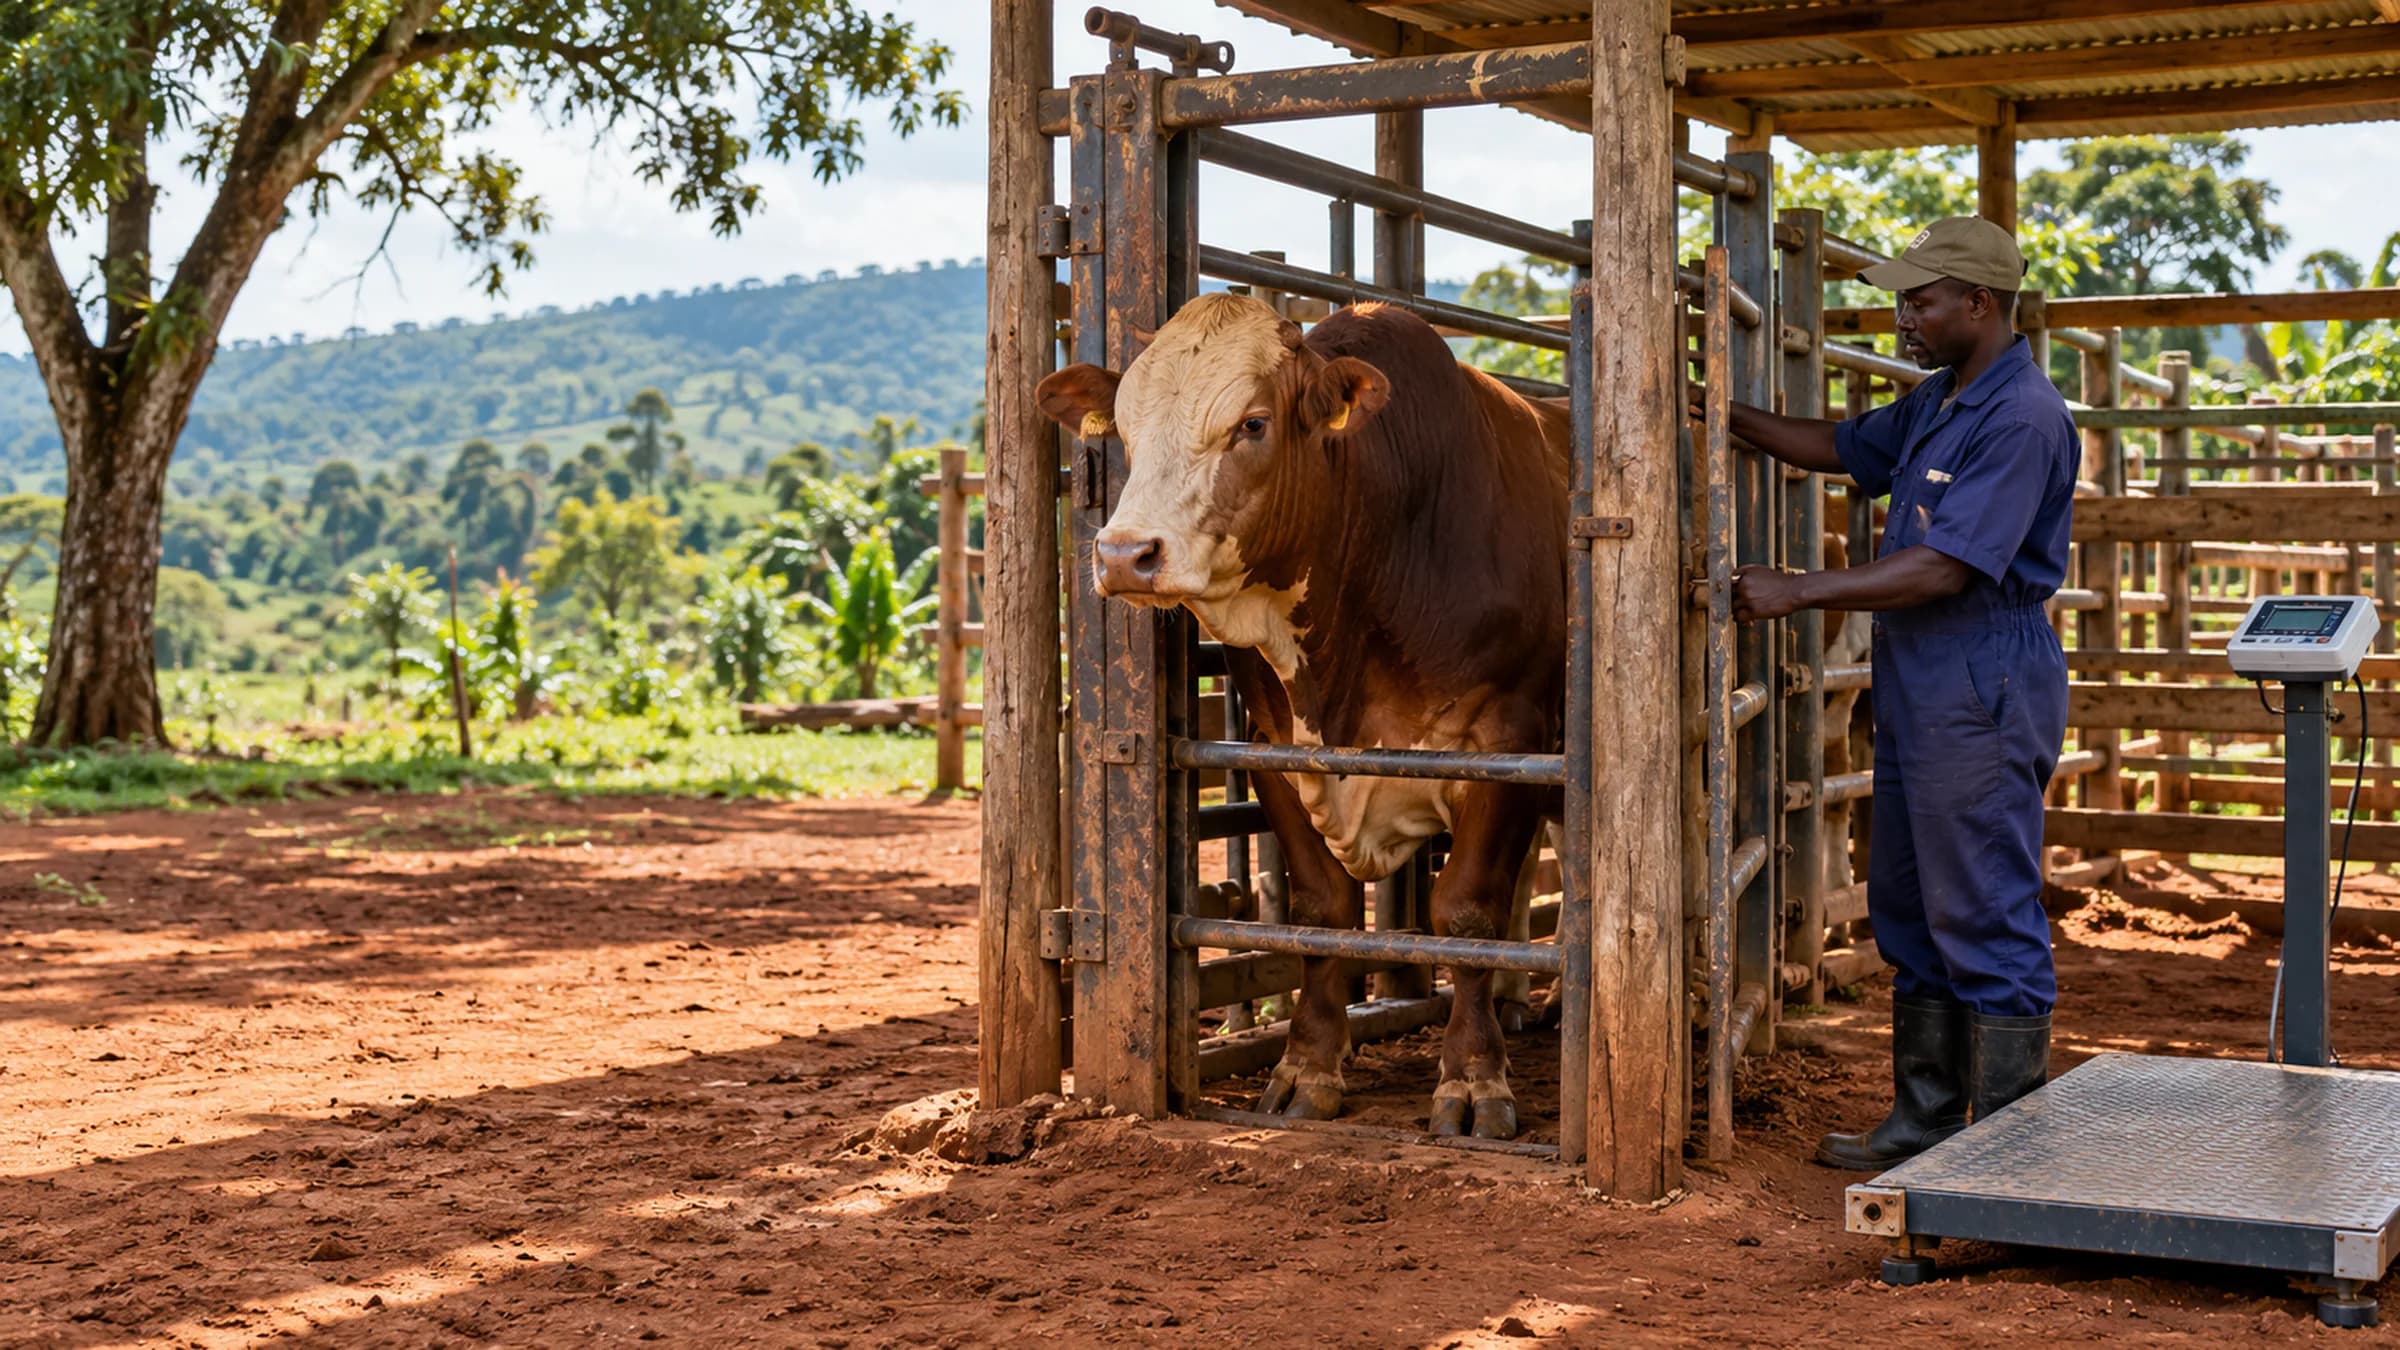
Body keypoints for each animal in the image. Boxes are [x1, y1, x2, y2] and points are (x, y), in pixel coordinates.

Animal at [1037, 293, 1572, 1139]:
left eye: (1253, 423)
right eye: (1123, 425)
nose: (1124, 555)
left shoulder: (1504, 744)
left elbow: (1466, 912)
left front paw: (1472, 1079)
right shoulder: (1273, 751)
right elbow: (1323, 909)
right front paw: (1307, 1067)